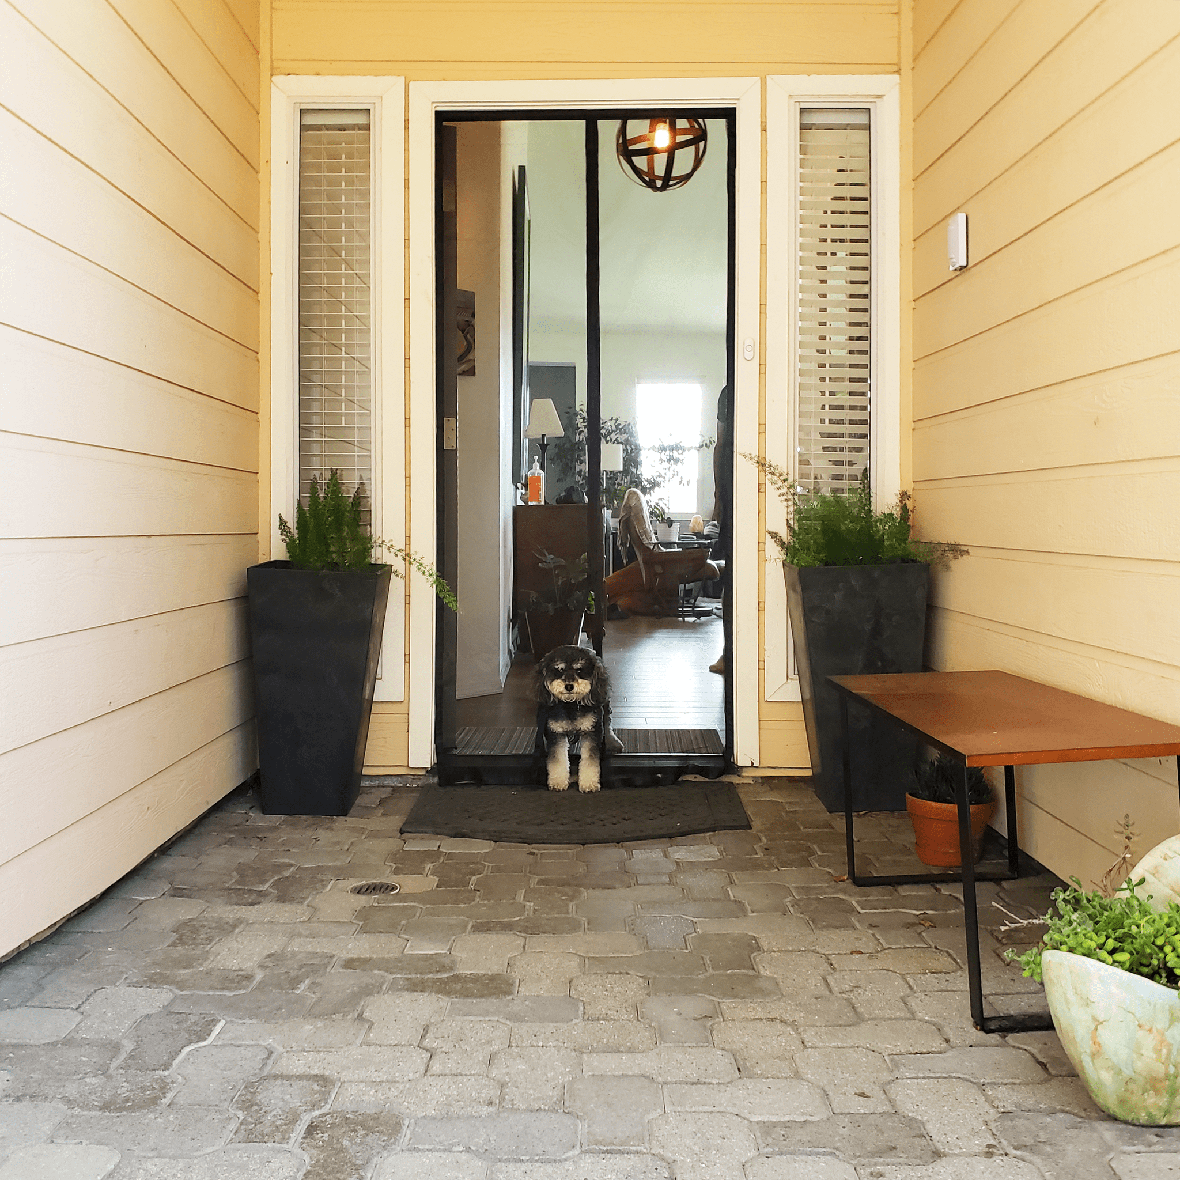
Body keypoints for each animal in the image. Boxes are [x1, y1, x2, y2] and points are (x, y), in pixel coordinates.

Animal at [538, 646, 627, 792]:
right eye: (559, 669)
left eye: (579, 670)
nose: (569, 686)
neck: (571, 705)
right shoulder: (556, 733)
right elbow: (557, 759)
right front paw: (558, 782)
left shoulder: (592, 730)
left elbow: (590, 760)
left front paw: (589, 783)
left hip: (604, 703)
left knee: (607, 722)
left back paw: (613, 742)